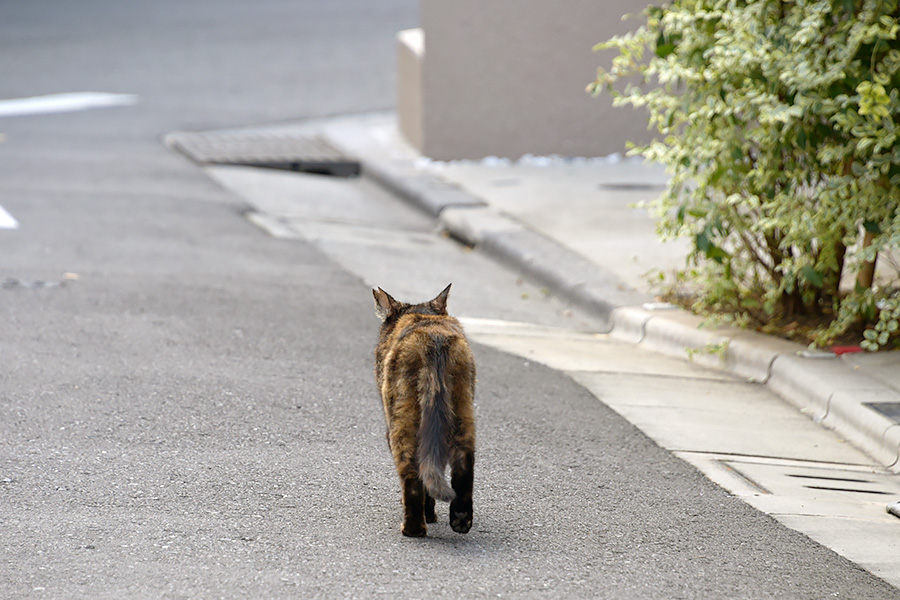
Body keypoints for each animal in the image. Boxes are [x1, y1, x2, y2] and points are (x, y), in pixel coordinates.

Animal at [370, 284, 474, 536]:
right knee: (463, 462)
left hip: (401, 420)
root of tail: (433, 339)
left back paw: (413, 528)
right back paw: (461, 521)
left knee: (411, 473)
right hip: (462, 412)